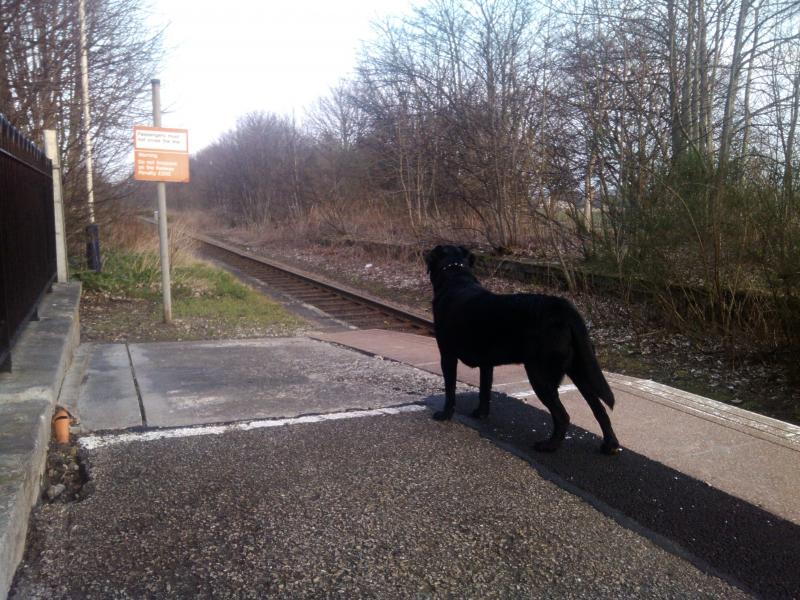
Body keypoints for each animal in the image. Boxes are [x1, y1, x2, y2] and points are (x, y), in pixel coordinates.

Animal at [424, 244, 620, 454]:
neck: (456, 276)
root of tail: (563, 308)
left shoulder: (447, 356)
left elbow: (450, 389)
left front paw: (444, 415)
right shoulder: (487, 364)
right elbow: (484, 389)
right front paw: (480, 414)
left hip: (539, 374)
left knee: (562, 415)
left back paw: (549, 445)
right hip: (579, 368)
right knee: (599, 409)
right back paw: (609, 445)